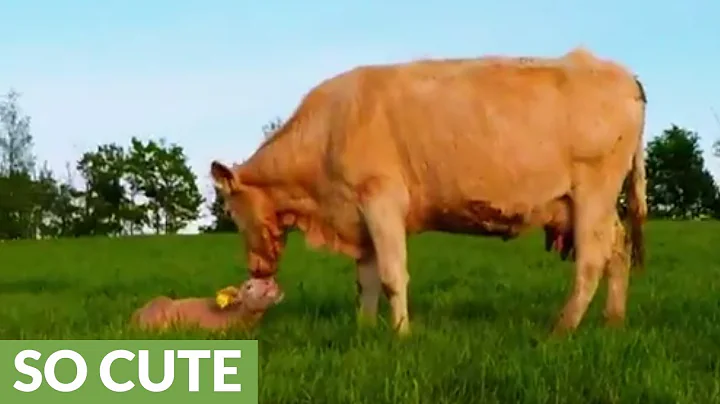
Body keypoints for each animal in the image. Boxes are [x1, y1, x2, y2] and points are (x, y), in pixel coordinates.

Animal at [210, 47, 648, 336]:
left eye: (232, 211)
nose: (256, 269)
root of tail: (620, 72)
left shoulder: (382, 199)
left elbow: (391, 275)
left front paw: (401, 335)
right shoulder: (359, 213)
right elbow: (366, 280)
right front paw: (364, 330)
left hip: (594, 191)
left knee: (591, 262)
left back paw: (561, 330)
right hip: (590, 205)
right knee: (618, 250)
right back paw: (613, 322)